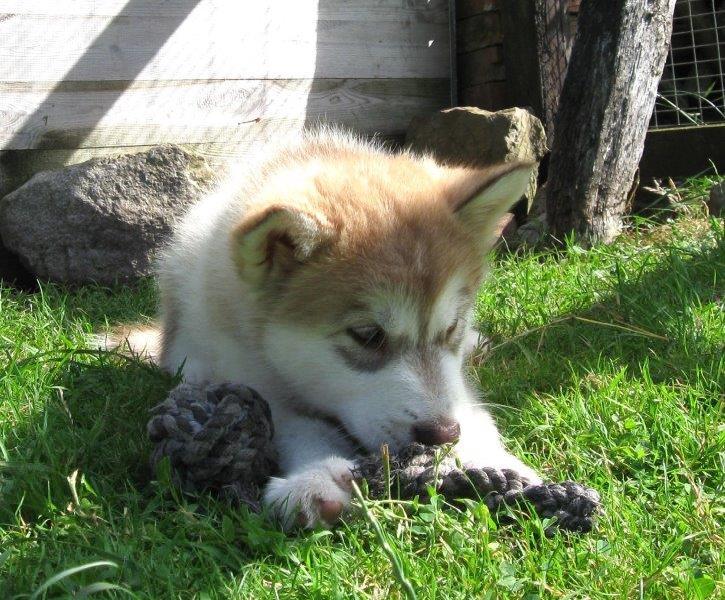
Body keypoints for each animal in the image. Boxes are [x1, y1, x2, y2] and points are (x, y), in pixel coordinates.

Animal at [118, 130, 541, 529]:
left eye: (451, 325)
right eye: (368, 335)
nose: (443, 435)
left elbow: (470, 407)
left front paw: (496, 462)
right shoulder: (241, 372)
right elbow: (293, 425)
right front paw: (315, 476)